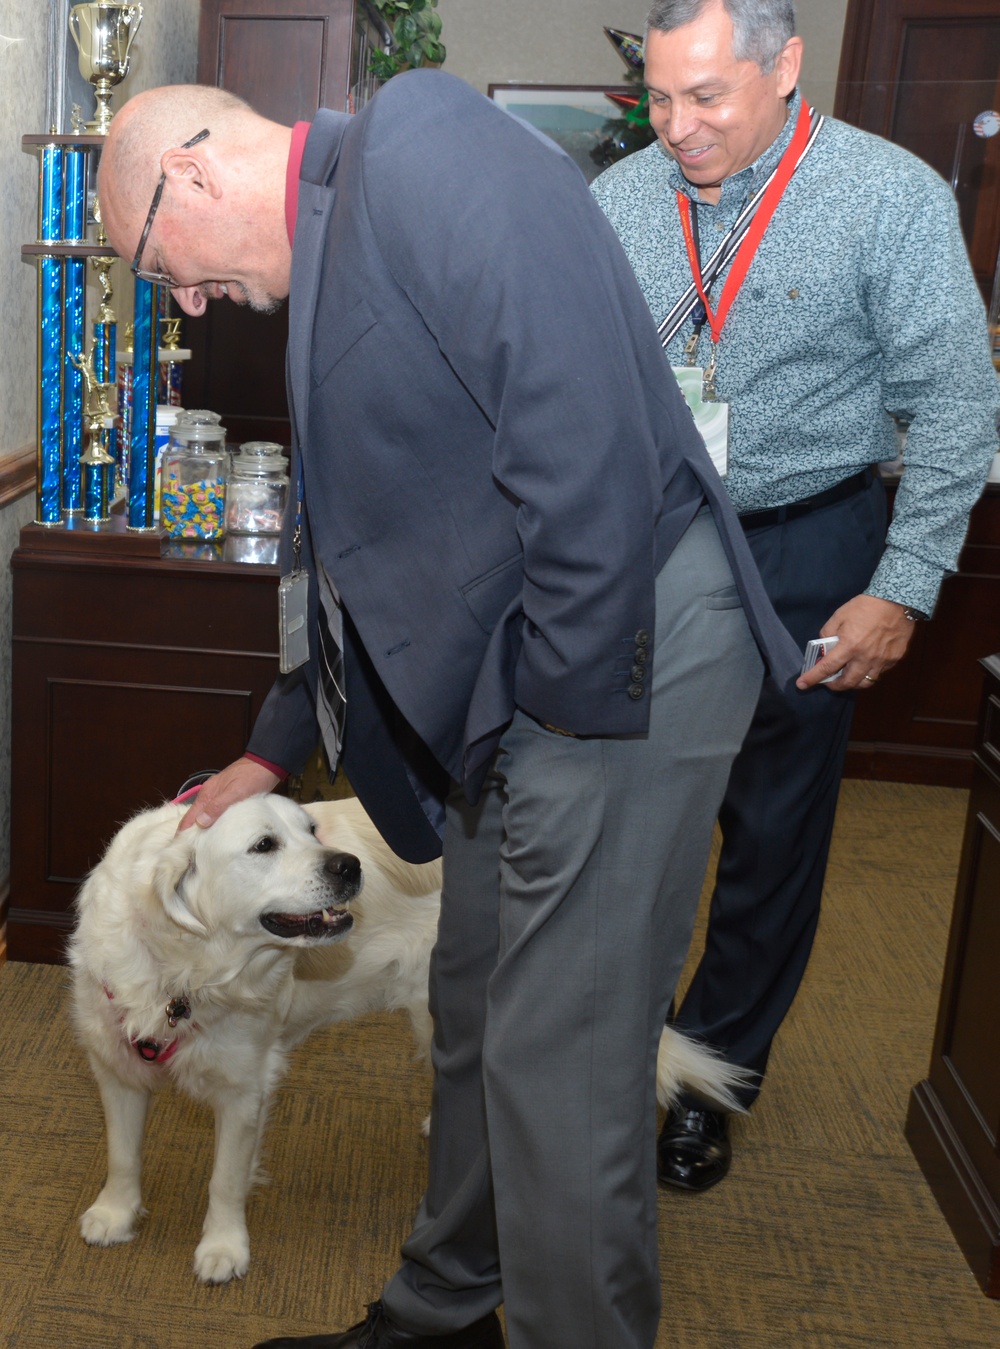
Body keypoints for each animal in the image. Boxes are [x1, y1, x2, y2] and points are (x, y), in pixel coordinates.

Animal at [68, 787, 739, 1284]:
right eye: (264, 845)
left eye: (312, 831)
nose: (349, 865)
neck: (184, 973)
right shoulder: (115, 1065)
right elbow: (123, 1154)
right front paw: (116, 1213)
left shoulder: (244, 1087)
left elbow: (225, 1179)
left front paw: (223, 1248)